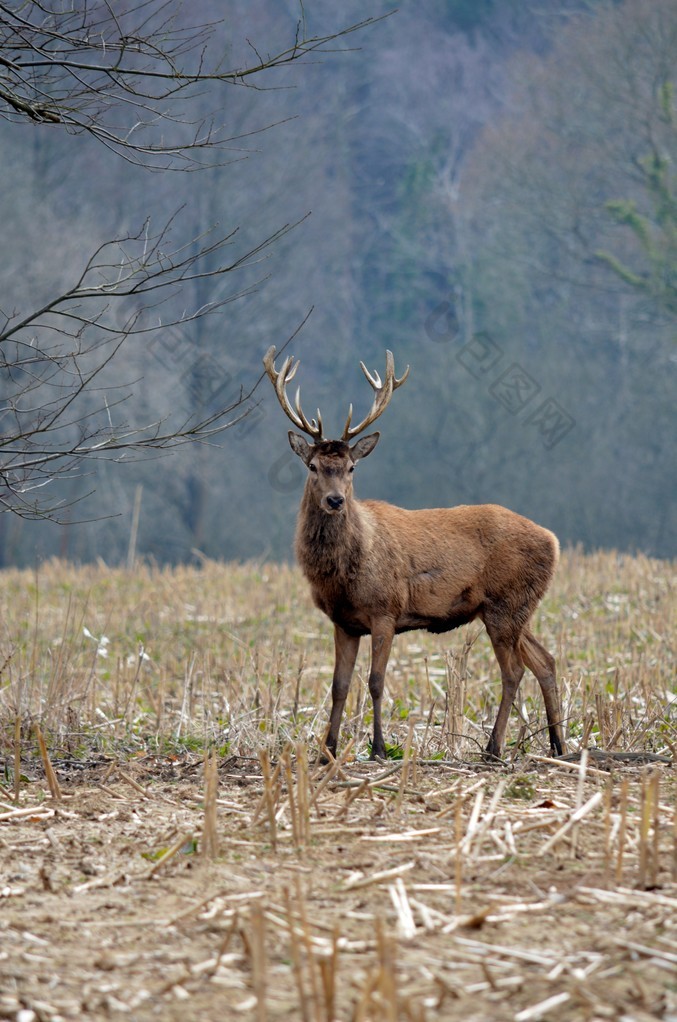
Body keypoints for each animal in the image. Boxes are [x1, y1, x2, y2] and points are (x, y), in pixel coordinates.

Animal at [261, 347, 564, 764]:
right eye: (313, 466)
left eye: (351, 467)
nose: (335, 500)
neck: (343, 574)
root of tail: (554, 541)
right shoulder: (343, 622)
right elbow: (339, 685)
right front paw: (327, 751)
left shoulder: (385, 609)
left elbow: (375, 682)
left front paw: (378, 748)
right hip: (516, 608)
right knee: (545, 660)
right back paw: (558, 745)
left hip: (505, 605)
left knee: (514, 671)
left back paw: (493, 748)